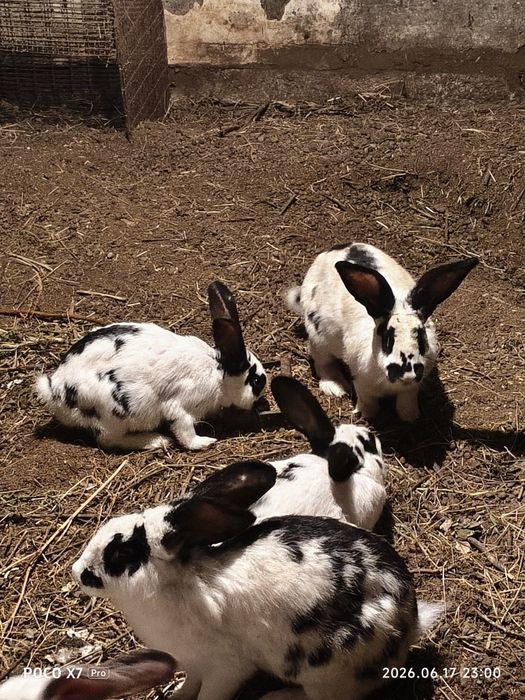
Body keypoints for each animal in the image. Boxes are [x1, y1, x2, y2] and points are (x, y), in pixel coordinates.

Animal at [34, 281, 266, 451]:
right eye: (256, 381)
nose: (259, 401)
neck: (219, 371)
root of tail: (54, 390)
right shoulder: (179, 406)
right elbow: (185, 430)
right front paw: (204, 442)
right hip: (115, 413)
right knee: (108, 440)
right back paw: (157, 440)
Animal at [72, 462, 443, 700]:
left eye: (121, 553)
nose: (78, 571)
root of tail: (408, 622)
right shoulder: (192, 663)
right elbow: (189, 685)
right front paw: (175, 698)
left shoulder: (225, 667)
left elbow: (210, 694)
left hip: (327, 672)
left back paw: (276, 696)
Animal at [286, 242, 478, 421]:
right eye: (386, 336)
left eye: (421, 335)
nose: (407, 374)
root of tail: (333, 249)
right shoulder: (361, 381)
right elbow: (368, 401)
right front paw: (367, 415)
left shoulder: (411, 387)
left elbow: (406, 402)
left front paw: (411, 417)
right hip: (320, 339)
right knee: (322, 363)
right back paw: (335, 388)